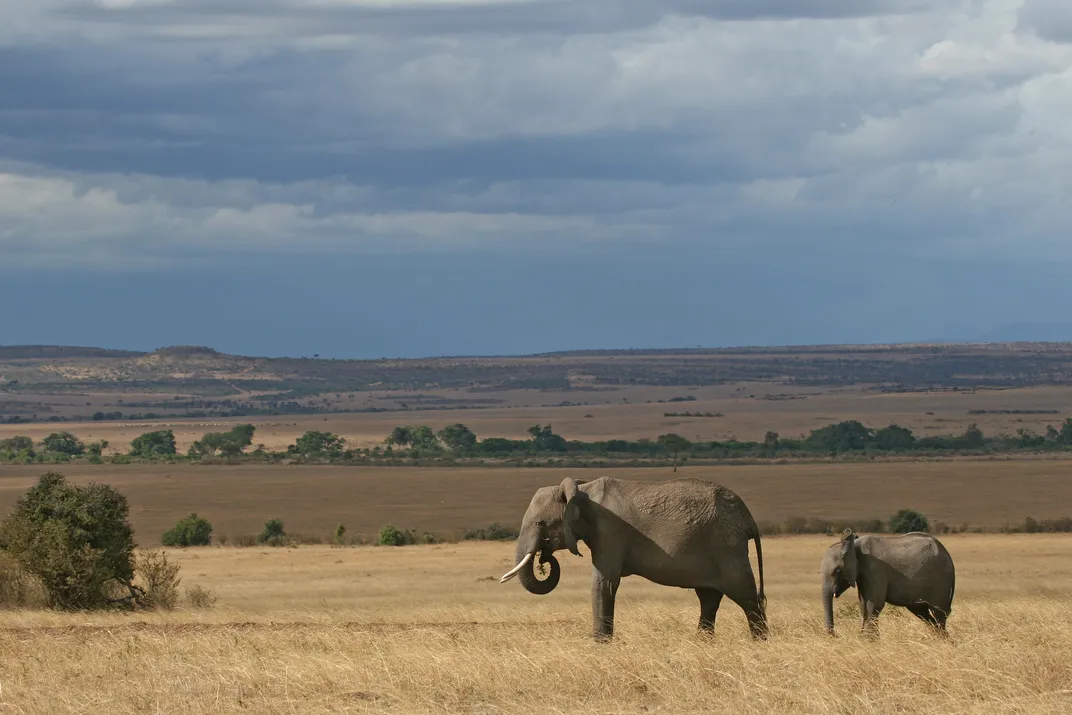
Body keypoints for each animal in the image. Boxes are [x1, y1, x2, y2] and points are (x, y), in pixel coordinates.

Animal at [499, 475, 768, 641]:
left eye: (540, 523)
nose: (544, 558)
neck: (581, 489)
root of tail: (749, 519)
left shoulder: (610, 531)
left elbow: (604, 582)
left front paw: (600, 644)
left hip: (727, 547)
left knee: (745, 596)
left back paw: (760, 641)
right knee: (709, 597)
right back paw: (702, 642)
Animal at [821, 529, 955, 637]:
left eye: (838, 571)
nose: (835, 635)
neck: (854, 546)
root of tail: (948, 554)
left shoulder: (874, 570)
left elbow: (873, 605)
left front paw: (870, 641)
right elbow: (863, 606)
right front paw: (864, 639)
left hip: (941, 580)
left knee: (939, 613)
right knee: (923, 613)